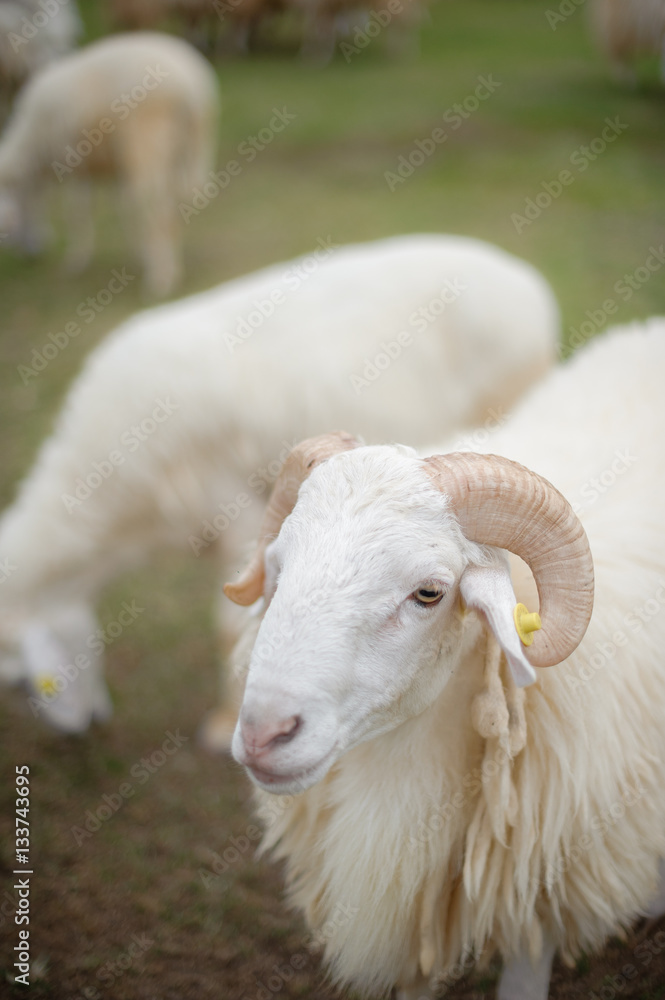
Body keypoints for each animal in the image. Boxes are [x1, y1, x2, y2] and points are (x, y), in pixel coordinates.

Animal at [0, 31, 219, 297]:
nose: (28, 257)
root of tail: (193, 84)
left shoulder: (74, 165)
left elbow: (77, 212)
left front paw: (76, 260)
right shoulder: (114, 170)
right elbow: (122, 211)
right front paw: (138, 252)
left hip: (149, 146)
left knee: (158, 209)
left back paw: (161, 279)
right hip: (184, 152)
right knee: (173, 206)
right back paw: (168, 264)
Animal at [0, 233, 559, 743]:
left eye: (27, 682)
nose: (78, 732)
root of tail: (524, 279)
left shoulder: (232, 506)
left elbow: (229, 622)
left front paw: (222, 722)